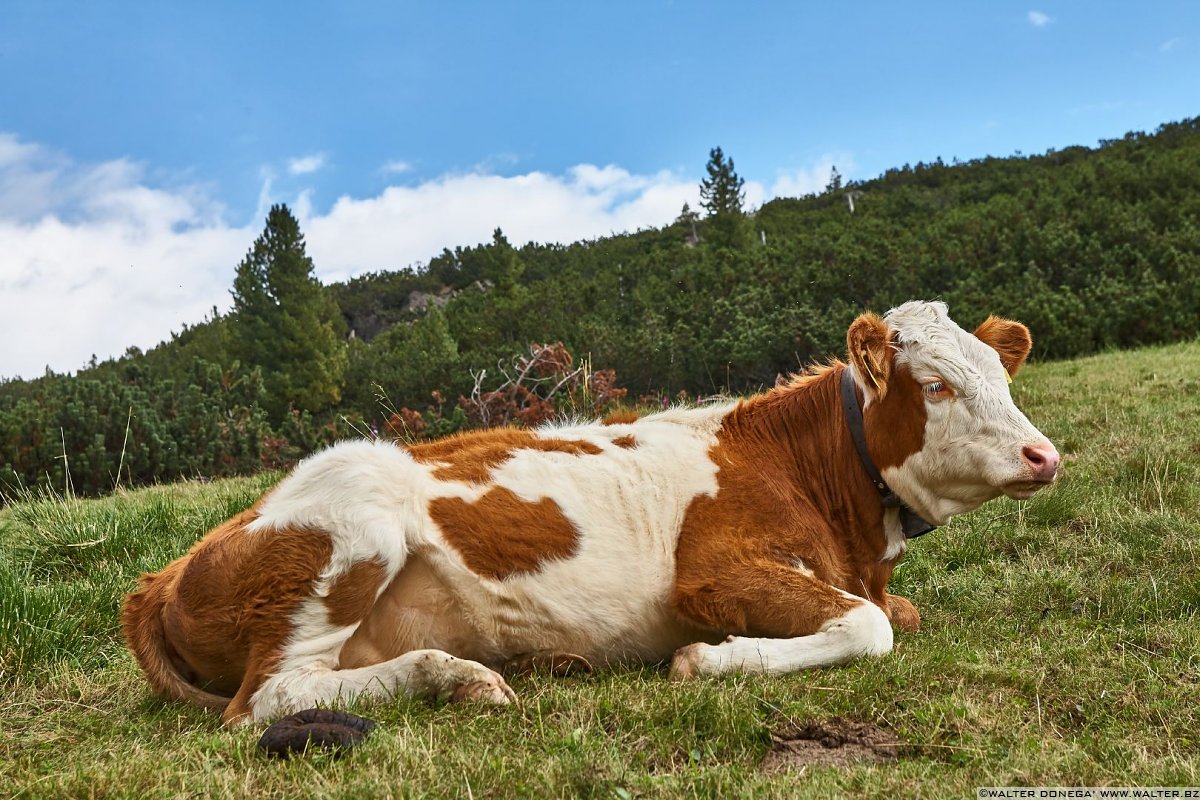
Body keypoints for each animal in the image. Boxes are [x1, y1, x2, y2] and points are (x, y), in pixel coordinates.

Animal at [121, 302, 1060, 724]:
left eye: (1002, 374)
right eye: (934, 385)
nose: (1042, 455)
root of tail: (167, 569)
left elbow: (897, 611)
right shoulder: (711, 573)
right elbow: (872, 625)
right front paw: (705, 661)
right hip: (354, 526)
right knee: (270, 696)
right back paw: (451, 676)